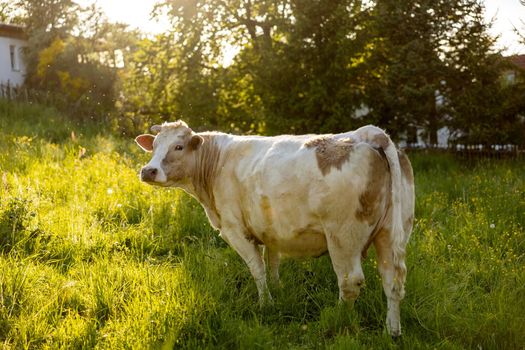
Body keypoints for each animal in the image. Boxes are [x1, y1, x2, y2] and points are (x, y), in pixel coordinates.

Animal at [135, 120, 414, 336]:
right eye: (155, 146)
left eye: (178, 146)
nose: (149, 170)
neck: (216, 163)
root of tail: (369, 133)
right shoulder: (271, 229)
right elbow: (273, 263)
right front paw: (278, 291)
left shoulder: (234, 229)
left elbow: (257, 269)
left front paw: (266, 303)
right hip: (391, 234)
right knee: (392, 282)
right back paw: (392, 330)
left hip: (343, 237)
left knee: (350, 282)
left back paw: (338, 319)